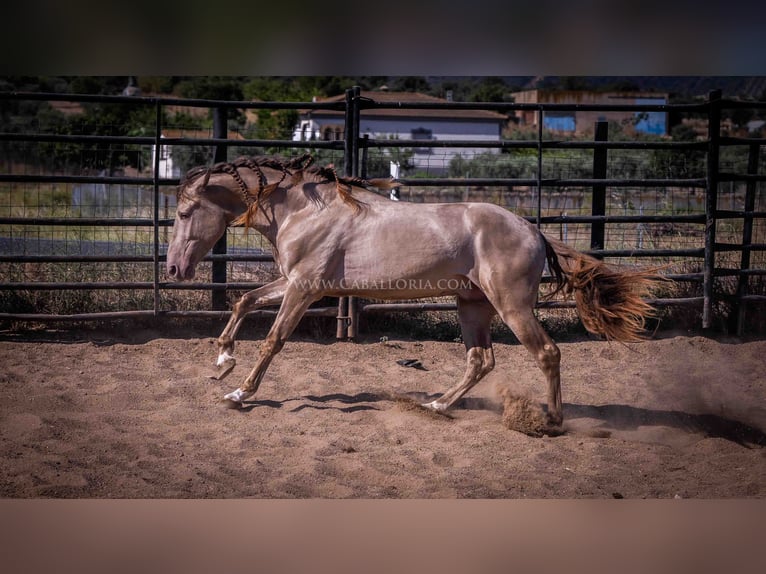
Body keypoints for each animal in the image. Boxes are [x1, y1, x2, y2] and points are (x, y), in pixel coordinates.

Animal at [168, 154, 664, 428]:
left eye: (185, 212)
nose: (174, 268)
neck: (306, 210)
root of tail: (534, 231)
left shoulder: (304, 288)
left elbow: (273, 340)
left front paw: (239, 394)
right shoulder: (295, 283)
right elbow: (244, 300)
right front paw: (222, 363)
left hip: (511, 306)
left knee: (546, 353)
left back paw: (551, 422)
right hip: (471, 305)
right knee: (481, 360)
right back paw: (437, 404)